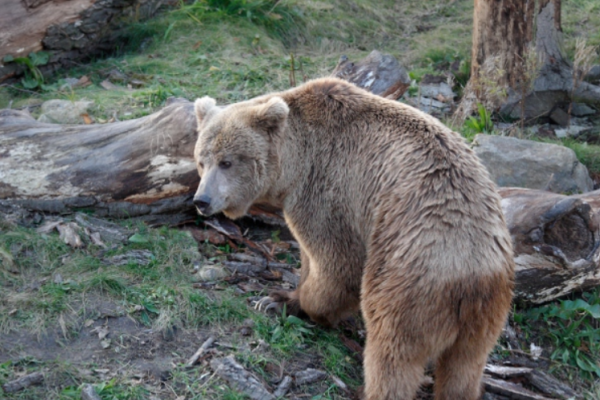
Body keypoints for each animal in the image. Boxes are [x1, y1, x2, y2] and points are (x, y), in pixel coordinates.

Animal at [192, 77, 516, 400]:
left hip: (410, 279)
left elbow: (337, 264)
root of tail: (471, 274)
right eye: (201, 160)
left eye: (227, 162)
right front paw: (281, 297)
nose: (201, 200)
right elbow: (309, 259)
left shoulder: (327, 189)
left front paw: (290, 302)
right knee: (463, 369)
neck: (295, 163)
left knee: (392, 352)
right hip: (486, 315)